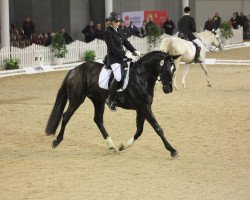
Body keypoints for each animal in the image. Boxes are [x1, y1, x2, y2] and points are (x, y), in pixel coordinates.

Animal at [45, 50, 180, 157]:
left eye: (174, 69)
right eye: (166, 69)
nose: (169, 89)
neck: (141, 77)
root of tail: (74, 69)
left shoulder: (142, 108)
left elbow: (139, 130)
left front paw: (123, 146)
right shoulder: (144, 107)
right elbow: (158, 128)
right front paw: (172, 150)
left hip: (98, 101)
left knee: (98, 120)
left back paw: (112, 146)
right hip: (77, 99)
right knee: (66, 116)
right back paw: (56, 141)